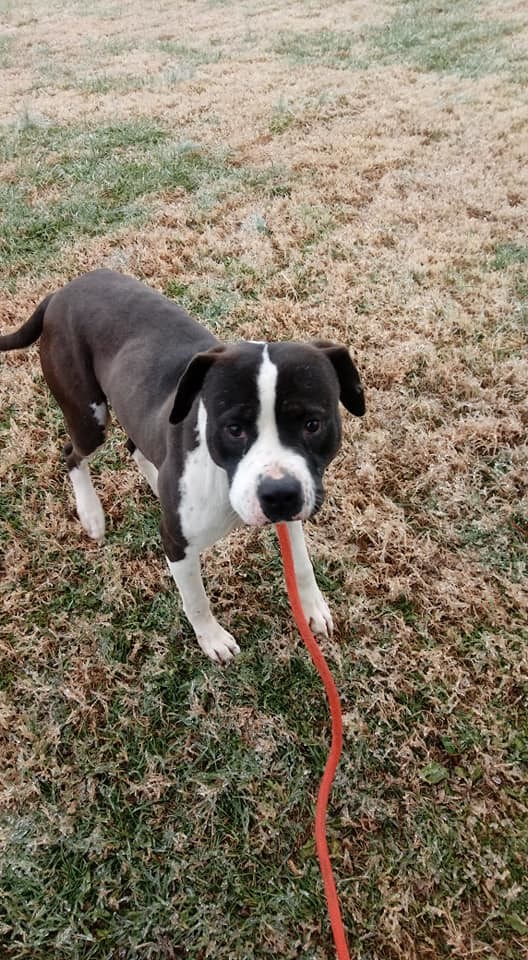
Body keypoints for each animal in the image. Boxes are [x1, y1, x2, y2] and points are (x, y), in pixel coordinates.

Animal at [0, 268, 366, 660]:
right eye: (233, 429)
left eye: (312, 424)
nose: (279, 494)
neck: (221, 477)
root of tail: (60, 293)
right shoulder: (176, 544)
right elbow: (196, 600)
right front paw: (213, 639)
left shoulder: (295, 501)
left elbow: (301, 562)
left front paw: (313, 607)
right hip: (87, 417)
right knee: (72, 453)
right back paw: (91, 514)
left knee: (135, 445)